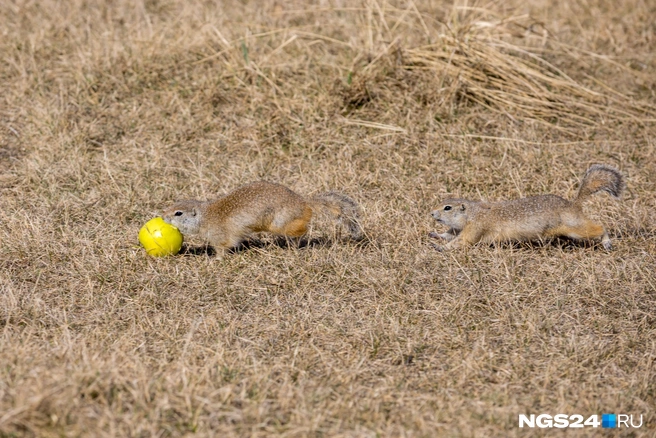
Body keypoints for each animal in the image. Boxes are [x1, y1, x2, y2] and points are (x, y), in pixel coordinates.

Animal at [161, 181, 362, 256]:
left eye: (178, 213)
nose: (162, 217)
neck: (205, 216)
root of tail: (303, 201)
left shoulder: (220, 236)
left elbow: (223, 247)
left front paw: (214, 259)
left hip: (281, 222)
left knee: (302, 228)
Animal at [430, 164, 624, 250]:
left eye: (447, 208)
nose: (431, 213)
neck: (472, 213)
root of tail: (573, 204)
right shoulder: (460, 228)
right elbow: (450, 235)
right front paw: (435, 235)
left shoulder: (475, 228)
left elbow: (462, 241)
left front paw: (441, 248)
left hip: (575, 227)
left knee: (599, 227)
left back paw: (607, 242)